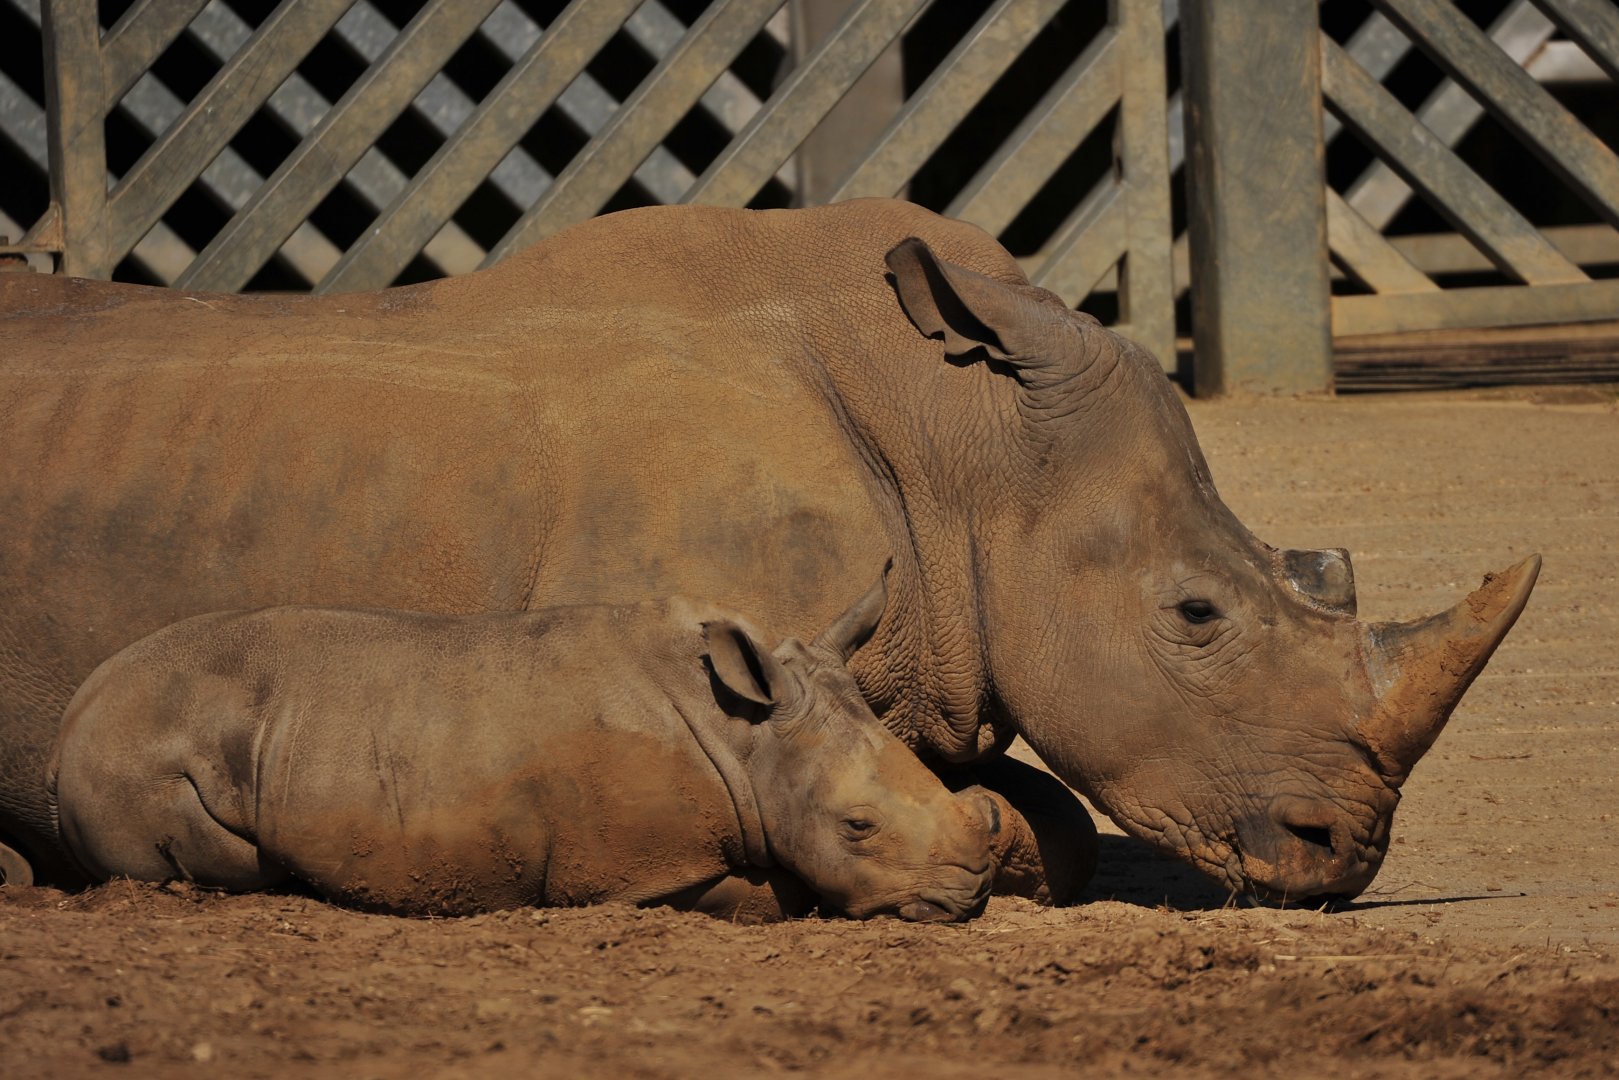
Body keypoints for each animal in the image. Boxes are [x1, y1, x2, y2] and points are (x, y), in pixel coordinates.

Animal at [47, 574, 1000, 920]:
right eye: (856, 828)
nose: (969, 897)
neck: (747, 736)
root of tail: (66, 723)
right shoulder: (636, 871)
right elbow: (773, 895)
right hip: (133, 748)